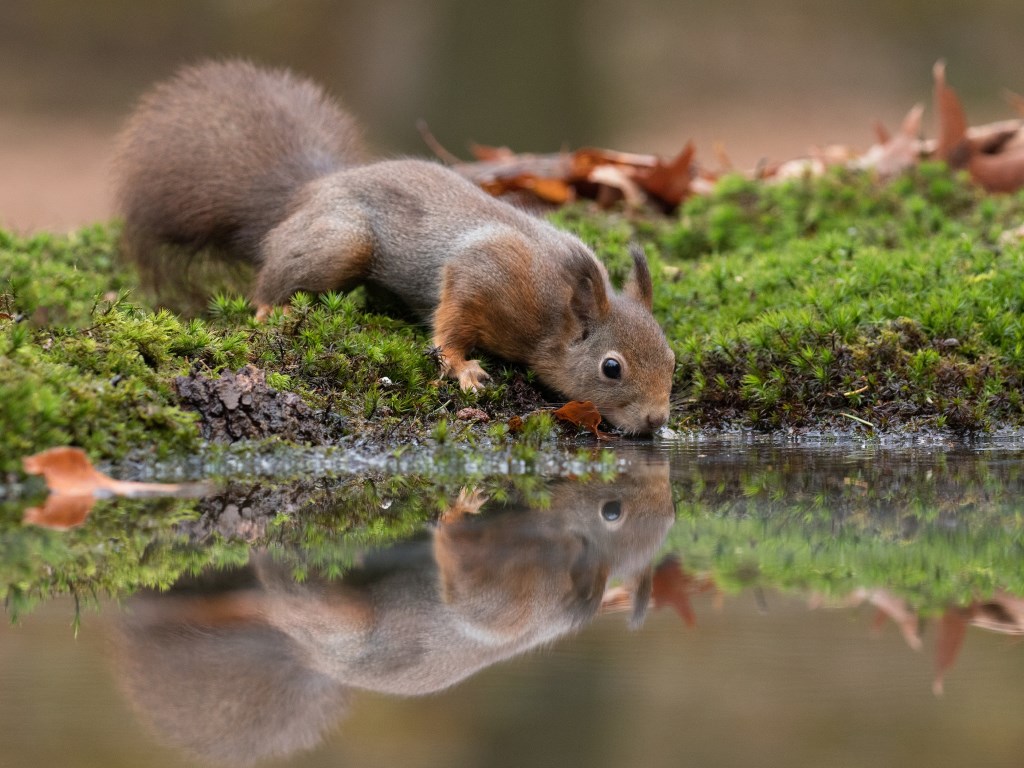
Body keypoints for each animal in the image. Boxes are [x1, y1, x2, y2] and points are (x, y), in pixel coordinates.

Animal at [112, 59, 675, 436]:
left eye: (672, 358)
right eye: (611, 367)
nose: (655, 420)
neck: (554, 313)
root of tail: (309, 191)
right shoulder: (485, 269)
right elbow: (450, 319)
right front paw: (462, 368)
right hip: (343, 242)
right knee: (270, 280)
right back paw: (272, 310)